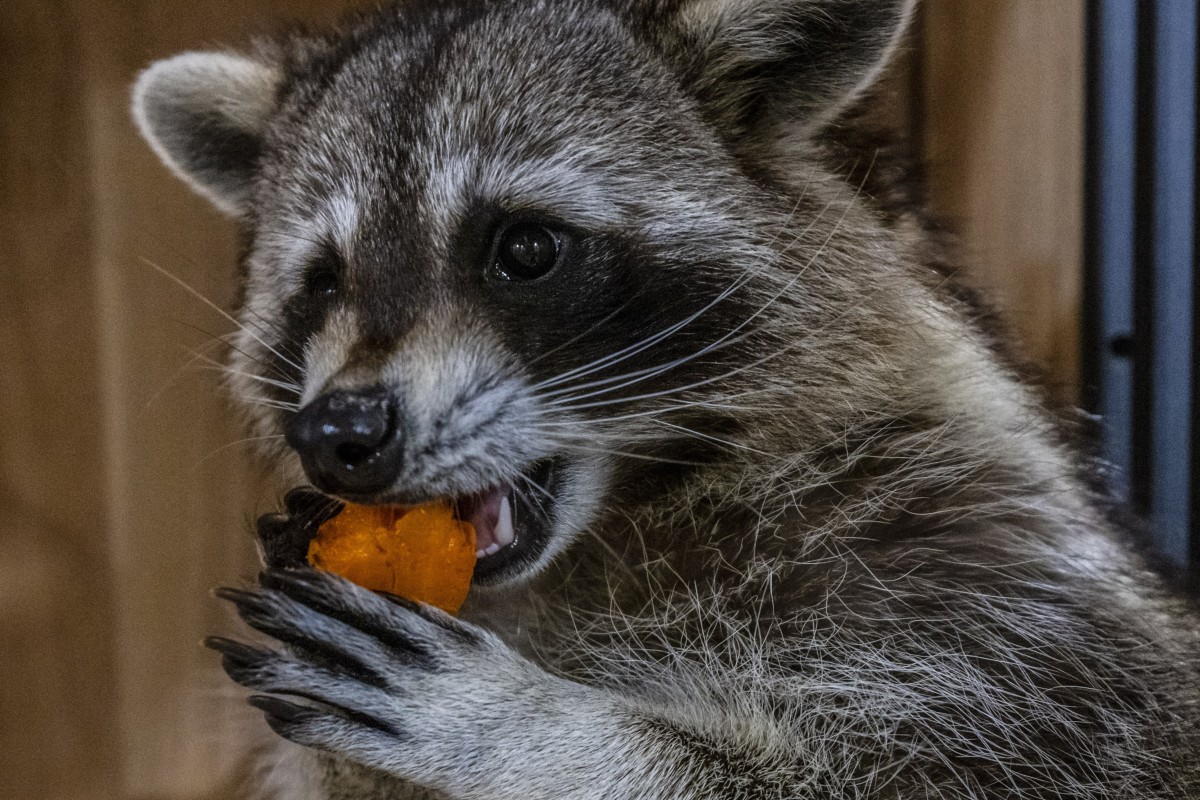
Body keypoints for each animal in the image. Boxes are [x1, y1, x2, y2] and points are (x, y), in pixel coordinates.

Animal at [131, 1, 1200, 800]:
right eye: (322, 283)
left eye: (524, 248)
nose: (338, 432)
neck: (622, 521)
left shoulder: (994, 601)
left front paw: (533, 729)